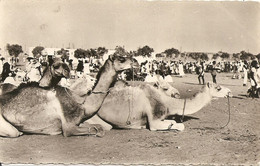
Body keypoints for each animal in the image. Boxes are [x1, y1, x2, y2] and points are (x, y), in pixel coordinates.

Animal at [0, 54, 138, 137]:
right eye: (121, 59)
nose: (135, 61)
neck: (81, 103)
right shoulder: (68, 126)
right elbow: (96, 130)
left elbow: (98, 127)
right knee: (14, 132)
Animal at [84, 81, 232, 131]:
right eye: (218, 88)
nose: (230, 92)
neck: (166, 101)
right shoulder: (154, 119)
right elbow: (180, 126)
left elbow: (173, 122)